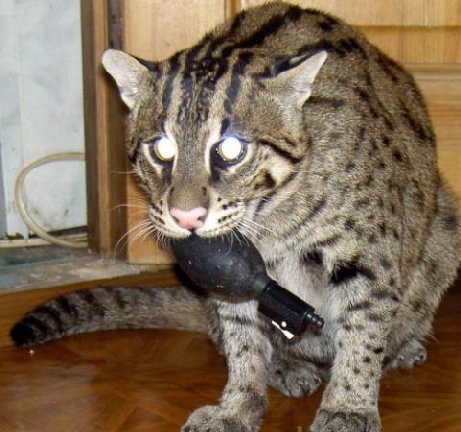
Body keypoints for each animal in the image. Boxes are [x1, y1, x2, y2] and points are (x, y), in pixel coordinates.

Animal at [11, 2, 460, 431]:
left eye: (230, 150)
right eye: (161, 149)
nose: (186, 217)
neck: (269, 218)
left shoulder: (369, 256)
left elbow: (363, 329)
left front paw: (349, 407)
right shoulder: (228, 269)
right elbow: (242, 339)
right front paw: (239, 405)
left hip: (446, 227)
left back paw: (401, 346)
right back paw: (287, 366)